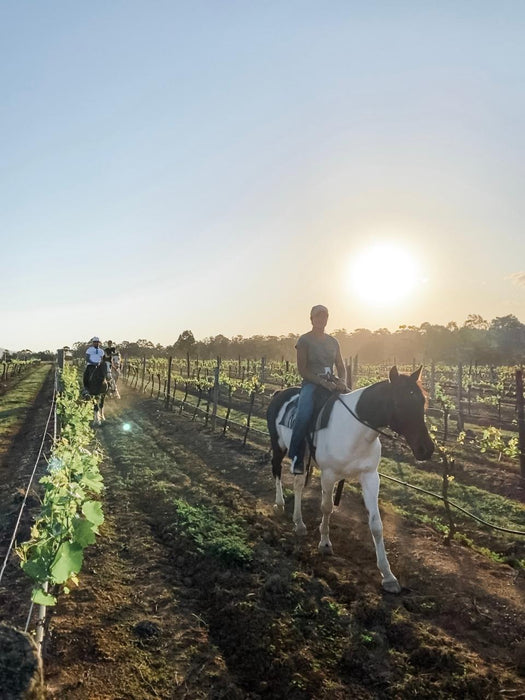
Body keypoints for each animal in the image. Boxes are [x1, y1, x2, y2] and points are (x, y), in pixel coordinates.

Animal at [266, 366, 434, 592]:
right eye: (400, 403)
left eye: (422, 402)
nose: (427, 449)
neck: (356, 430)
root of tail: (278, 393)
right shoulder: (329, 474)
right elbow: (327, 508)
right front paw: (325, 544)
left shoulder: (370, 477)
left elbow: (376, 524)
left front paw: (388, 575)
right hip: (279, 446)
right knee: (276, 469)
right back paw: (279, 504)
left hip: (302, 457)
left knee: (299, 484)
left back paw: (299, 523)